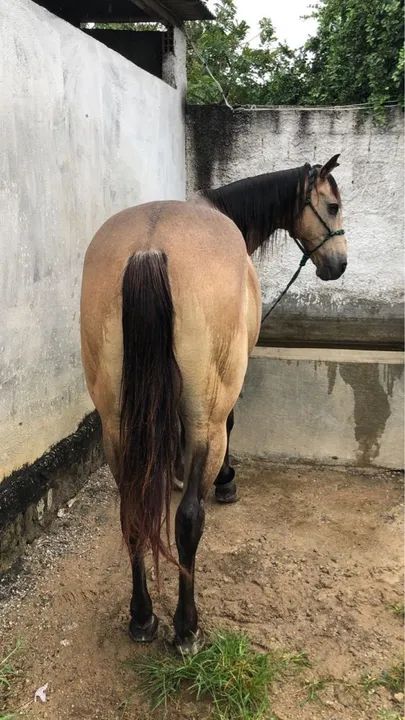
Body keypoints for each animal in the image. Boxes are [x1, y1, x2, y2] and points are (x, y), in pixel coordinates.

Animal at [80, 154, 347, 653]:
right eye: (334, 205)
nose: (338, 264)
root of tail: (149, 248)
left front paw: (176, 472)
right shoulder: (228, 388)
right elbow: (234, 423)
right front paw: (225, 480)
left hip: (115, 425)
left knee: (131, 510)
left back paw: (142, 617)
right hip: (207, 417)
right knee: (188, 521)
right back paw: (187, 627)